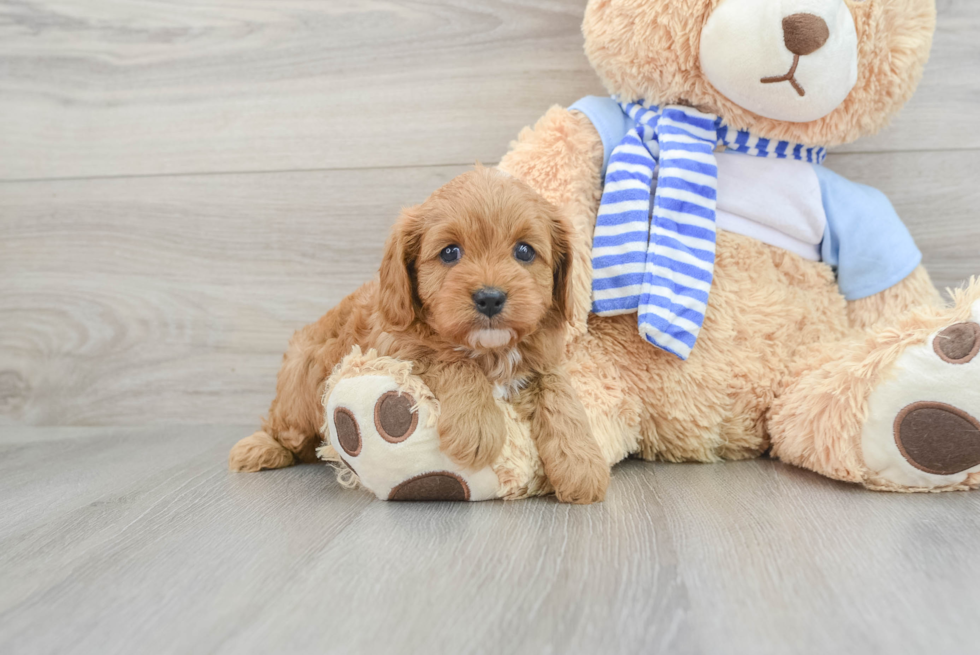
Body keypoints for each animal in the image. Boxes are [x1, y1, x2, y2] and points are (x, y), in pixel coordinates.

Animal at [231, 167, 608, 504]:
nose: (490, 298)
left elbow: (560, 395)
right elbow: (452, 360)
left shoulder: (543, 361)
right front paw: (476, 427)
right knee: (285, 429)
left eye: (525, 251)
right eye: (450, 252)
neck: (489, 350)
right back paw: (259, 449)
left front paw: (583, 464)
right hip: (301, 384)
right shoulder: (395, 347)